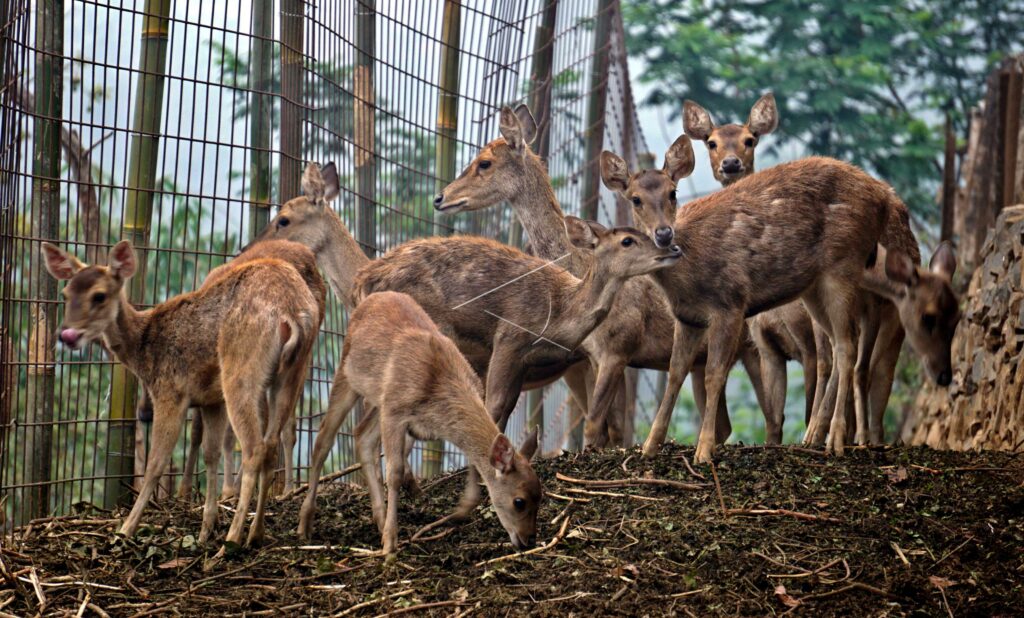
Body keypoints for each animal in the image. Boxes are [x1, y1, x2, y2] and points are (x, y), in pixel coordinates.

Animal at [42, 239, 323, 547]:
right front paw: (205, 528)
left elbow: (156, 463)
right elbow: (210, 453)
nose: (67, 335)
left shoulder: (170, 391)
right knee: (271, 445)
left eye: (99, 296)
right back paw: (255, 533)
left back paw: (232, 539)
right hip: (293, 372)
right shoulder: (212, 400)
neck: (142, 347)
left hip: (241, 369)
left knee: (254, 448)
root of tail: (293, 313)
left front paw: (126, 529)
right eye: (66, 293)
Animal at [302, 290, 542, 554]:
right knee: (323, 439)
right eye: (519, 501)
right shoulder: (395, 413)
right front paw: (390, 544)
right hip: (347, 374)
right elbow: (395, 472)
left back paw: (379, 518)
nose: (528, 540)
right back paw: (305, 524)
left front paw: (461, 510)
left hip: (379, 399)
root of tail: (370, 298)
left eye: (541, 496)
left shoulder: (397, 412)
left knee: (361, 434)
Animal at [434, 105, 772, 448]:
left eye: (484, 162)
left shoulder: (617, 349)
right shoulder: (597, 357)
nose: (441, 197)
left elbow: (598, 428)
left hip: (750, 347)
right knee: (725, 424)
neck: (580, 269)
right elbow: (613, 430)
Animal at [684, 94, 824, 441]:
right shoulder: (765, 344)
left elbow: (806, 407)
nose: (731, 164)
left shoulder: (807, 342)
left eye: (750, 139)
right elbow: (774, 417)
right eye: (711, 142)